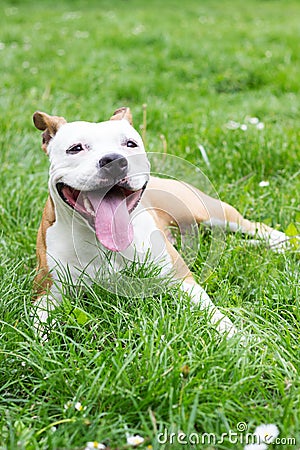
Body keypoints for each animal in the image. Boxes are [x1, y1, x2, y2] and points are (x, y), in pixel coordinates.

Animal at [31, 106, 292, 338]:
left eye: (130, 144)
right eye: (75, 149)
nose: (114, 161)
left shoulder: (181, 279)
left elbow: (214, 313)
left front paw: (238, 339)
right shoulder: (46, 293)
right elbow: (37, 330)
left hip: (214, 212)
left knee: (255, 227)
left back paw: (284, 244)